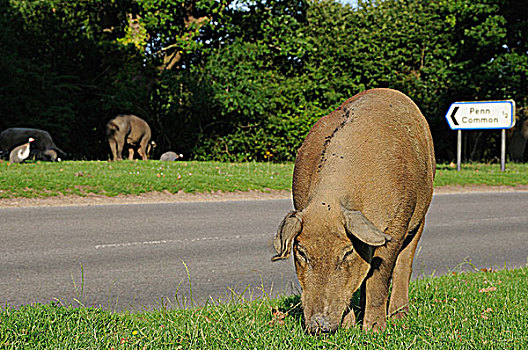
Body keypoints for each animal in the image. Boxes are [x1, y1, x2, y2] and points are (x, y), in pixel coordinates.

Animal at [272, 87, 434, 334]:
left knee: (404, 264)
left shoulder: (396, 224)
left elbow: (380, 277)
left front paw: (374, 330)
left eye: (347, 252)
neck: (330, 201)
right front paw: (348, 329)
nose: (319, 325)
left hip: (420, 215)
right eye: (301, 252)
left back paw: (399, 317)